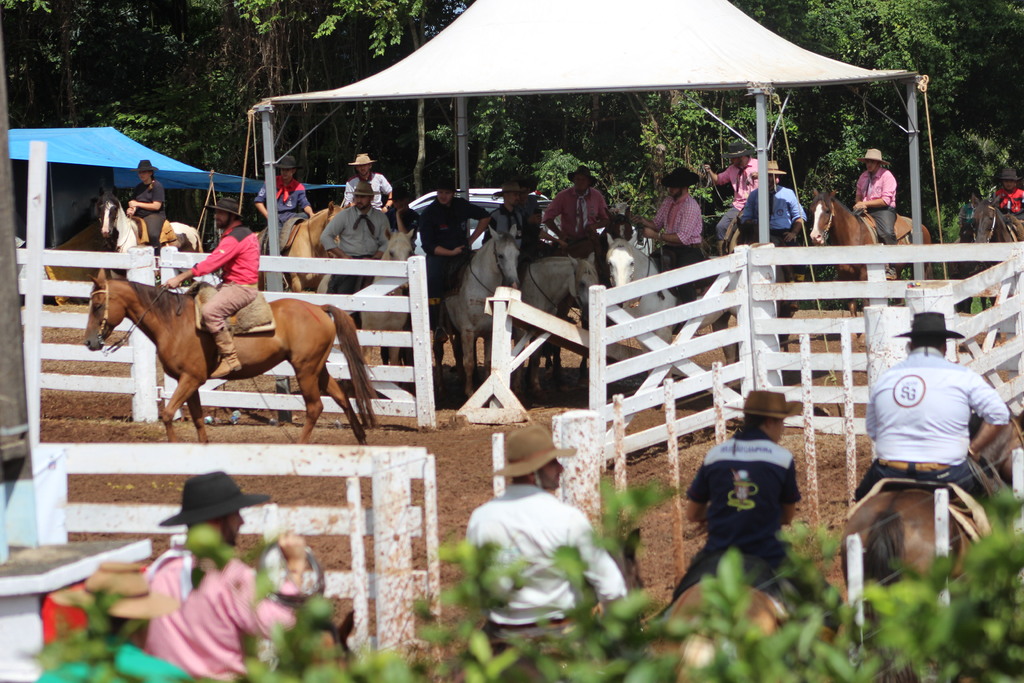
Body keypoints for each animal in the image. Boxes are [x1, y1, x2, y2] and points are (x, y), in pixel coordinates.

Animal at [83, 270, 378, 446]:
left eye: (97, 305)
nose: (89, 342)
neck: (173, 323)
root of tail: (319, 308)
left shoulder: (190, 379)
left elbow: (167, 414)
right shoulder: (191, 382)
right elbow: (198, 418)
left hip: (305, 370)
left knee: (315, 407)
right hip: (317, 369)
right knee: (341, 397)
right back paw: (361, 438)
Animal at [362, 229, 413, 368]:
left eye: (410, 251)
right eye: (391, 252)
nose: (404, 284)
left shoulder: (395, 333)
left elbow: (394, 362)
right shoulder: (368, 333)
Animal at [440, 231, 520, 397]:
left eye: (517, 254)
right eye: (500, 255)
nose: (514, 284)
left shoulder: (489, 333)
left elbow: (488, 362)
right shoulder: (468, 332)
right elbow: (469, 362)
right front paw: (470, 392)